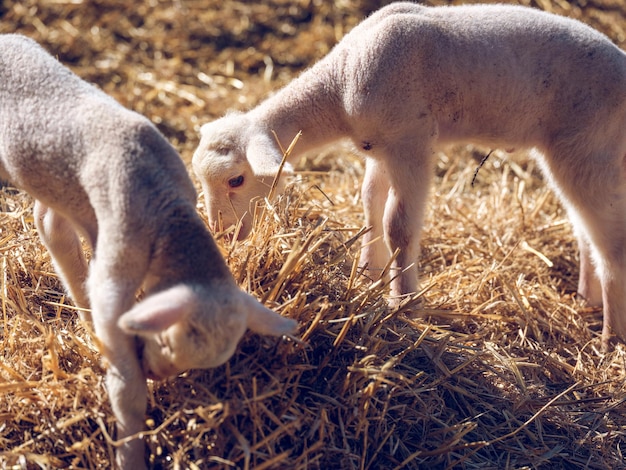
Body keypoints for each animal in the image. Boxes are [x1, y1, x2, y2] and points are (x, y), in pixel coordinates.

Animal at [0, 35, 298, 468]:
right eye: (170, 340)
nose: (157, 374)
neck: (167, 212)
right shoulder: (120, 250)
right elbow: (126, 385)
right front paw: (131, 452)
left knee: (50, 221)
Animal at [193, 2, 624, 348]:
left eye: (236, 180)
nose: (221, 235)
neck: (338, 84)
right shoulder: (378, 147)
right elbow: (369, 202)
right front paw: (369, 273)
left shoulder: (410, 142)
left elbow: (397, 225)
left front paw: (404, 304)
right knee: (584, 229)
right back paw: (586, 298)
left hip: (588, 147)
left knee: (610, 243)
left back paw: (610, 338)